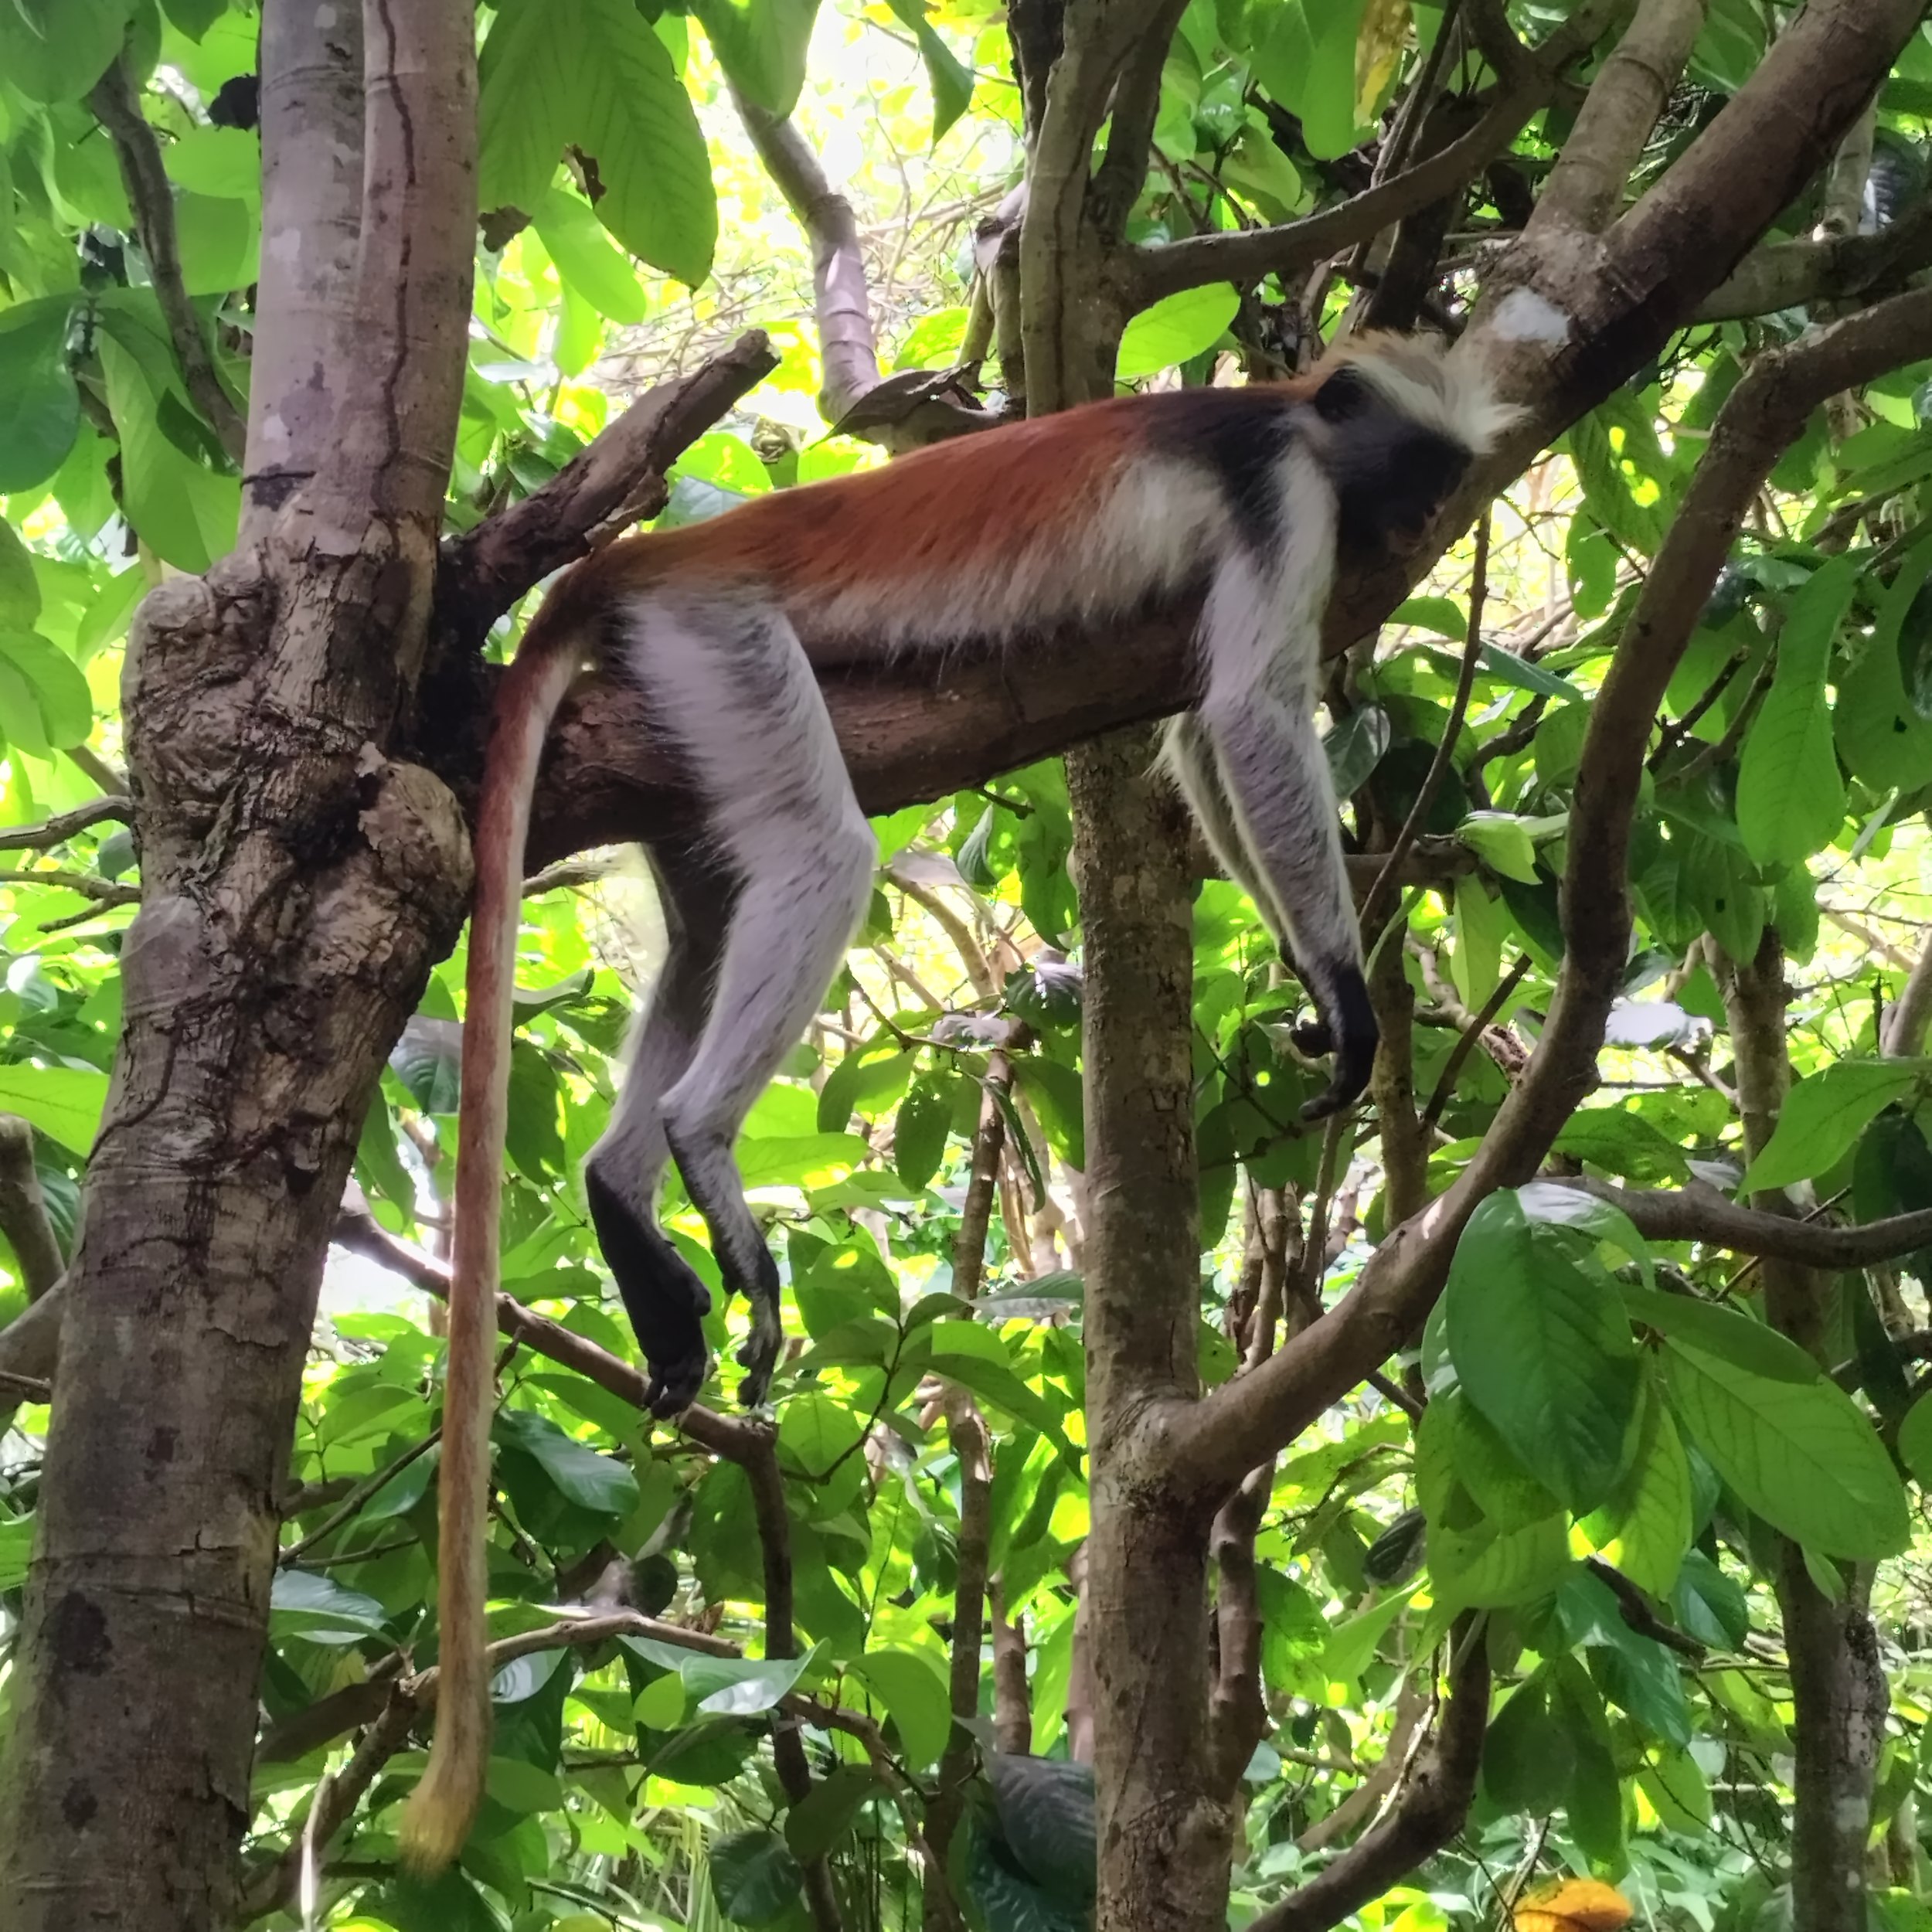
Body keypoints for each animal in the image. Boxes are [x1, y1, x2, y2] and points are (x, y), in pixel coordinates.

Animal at [398, 330, 1515, 1870]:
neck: (1290, 413)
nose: (1415, 532)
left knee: (711, 910)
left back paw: (628, 1195)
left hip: (669, 716)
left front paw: (1312, 982)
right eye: (1404, 475)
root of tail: (652, 553)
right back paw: (695, 1148)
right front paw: (1347, 997)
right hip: (716, 645)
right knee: (820, 849)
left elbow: (1194, 741)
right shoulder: (1285, 501)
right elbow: (1244, 714)